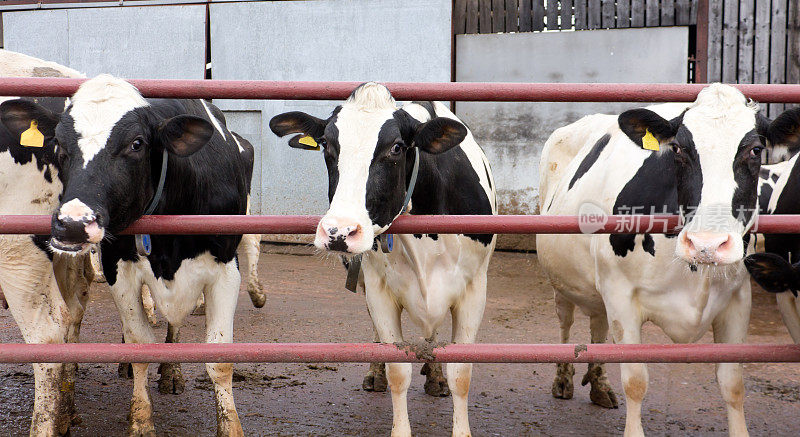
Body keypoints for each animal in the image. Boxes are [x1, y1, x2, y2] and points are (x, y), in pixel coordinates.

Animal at [0, 76, 252, 436]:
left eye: (136, 144)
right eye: (58, 144)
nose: (73, 224)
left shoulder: (227, 269)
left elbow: (220, 357)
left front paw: (230, 426)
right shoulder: (118, 267)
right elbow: (139, 342)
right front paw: (141, 420)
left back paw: (172, 374)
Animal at [270, 82, 494, 436]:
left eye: (397, 148)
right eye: (327, 146)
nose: (339, 232)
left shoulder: (474, 290)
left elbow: (460, 373)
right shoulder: (380, 291)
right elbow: (397, 369)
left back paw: (435, 377)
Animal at [536, 83, 792, 434]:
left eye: (755, 150)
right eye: (679, 150)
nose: (706, 244)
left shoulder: (739, 298)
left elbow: (733, 384)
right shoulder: (621, 295)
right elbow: (635, 380)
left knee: (597, 322)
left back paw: (599, 384)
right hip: (563, 279)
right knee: (565, 321)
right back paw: (563, 378)